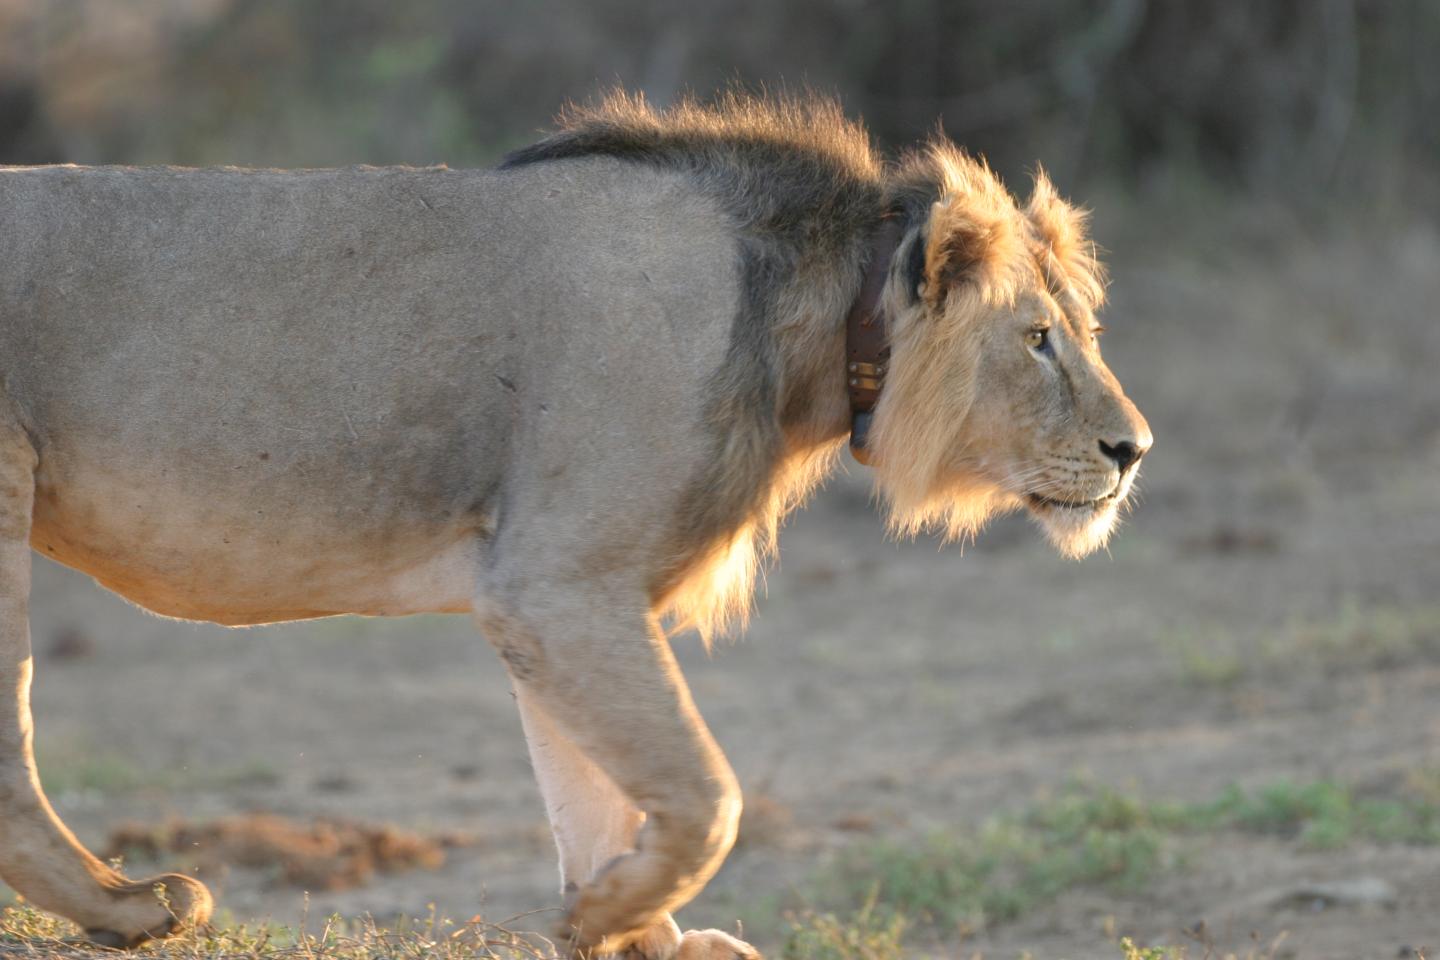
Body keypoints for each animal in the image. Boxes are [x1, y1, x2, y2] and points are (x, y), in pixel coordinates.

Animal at [0, 91, 1149, 958]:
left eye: (1083, 329)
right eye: (1037, 339)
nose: (1133, 451)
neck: (814, 334)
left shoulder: (555, 595)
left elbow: (591, 793)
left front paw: (635, 933)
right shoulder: (558, 584)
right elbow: (705, 796)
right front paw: (601, 918)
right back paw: (129, 910)